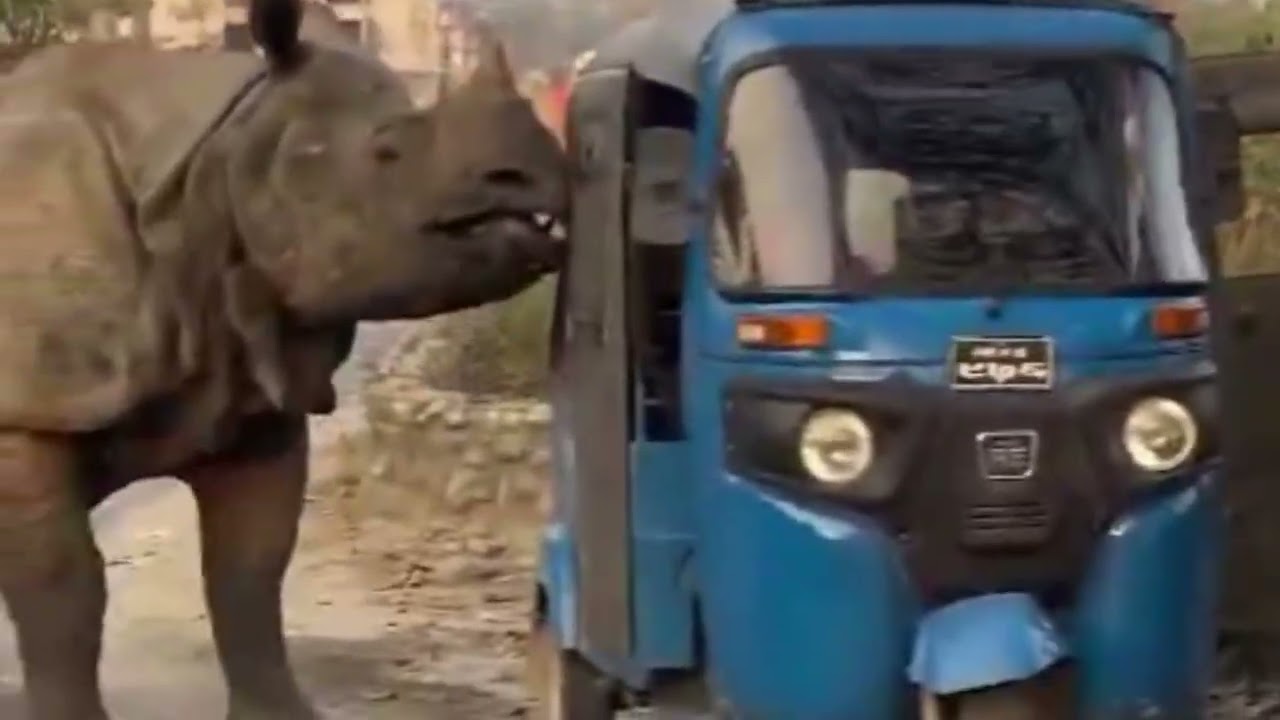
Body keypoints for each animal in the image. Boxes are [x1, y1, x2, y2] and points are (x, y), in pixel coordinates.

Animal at [0, 0, 567, 715]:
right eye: (387, 151)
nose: (532, 179)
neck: (218, 154)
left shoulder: (253, 393)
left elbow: (250, 571)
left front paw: (282, 713)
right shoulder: (27, 412)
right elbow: (65, 590)